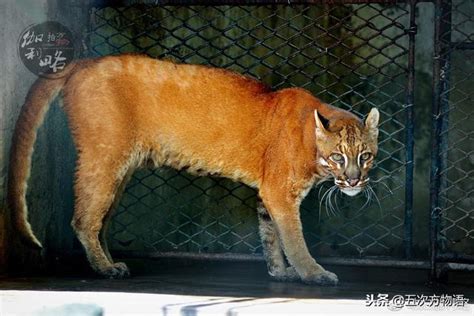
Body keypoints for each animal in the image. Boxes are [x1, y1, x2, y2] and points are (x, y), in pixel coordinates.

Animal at [7, 53, 380, 286]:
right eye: (338, 157)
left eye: (365, 156)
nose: (354, 180)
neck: (310, 141)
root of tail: (86, 60)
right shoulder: (280, 193)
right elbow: (294, 239)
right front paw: (313, 274)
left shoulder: (269, 196)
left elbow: (271, 236)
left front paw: (280, 273)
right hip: (105, 157)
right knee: (84, 218)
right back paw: (105, 269)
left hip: (120, 169)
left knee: (101, 219)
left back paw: (110, 262)